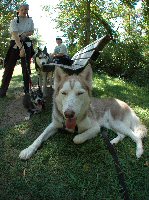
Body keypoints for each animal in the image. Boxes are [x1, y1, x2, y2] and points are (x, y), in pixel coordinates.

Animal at [19, 65, 147, 159]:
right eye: (64, 93)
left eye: (80, 93)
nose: (68, 114)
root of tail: (125, 103)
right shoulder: (53, 125)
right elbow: (39, 138)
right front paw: (28, 150)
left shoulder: (95, 127)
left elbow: (77, 138)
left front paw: (77, 136)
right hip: (111, 125)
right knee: (123, 135)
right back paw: (114, 142)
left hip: (116, 123)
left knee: (135, 136)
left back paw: (139, 151)